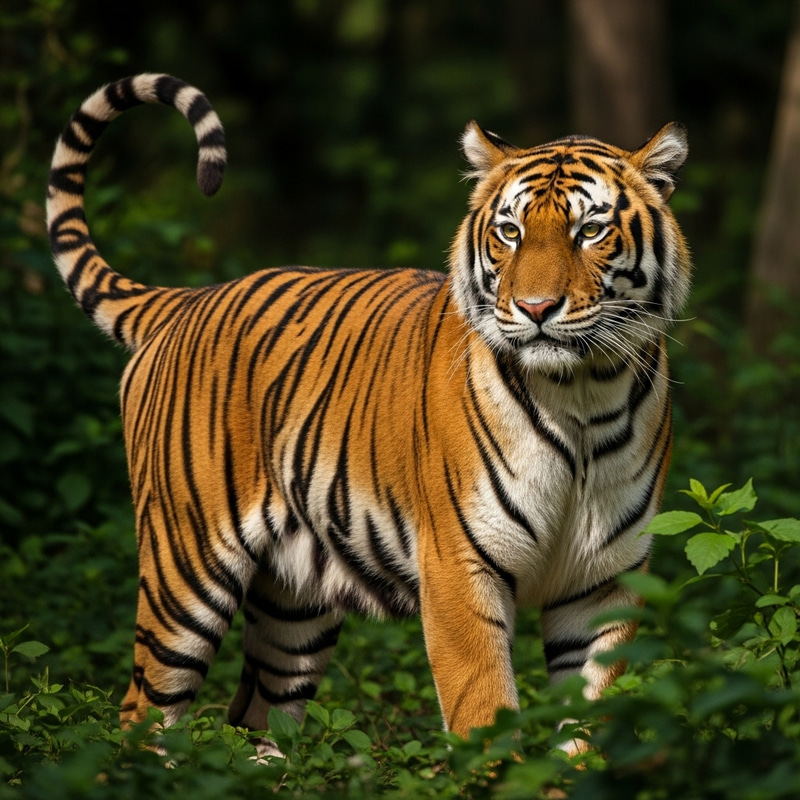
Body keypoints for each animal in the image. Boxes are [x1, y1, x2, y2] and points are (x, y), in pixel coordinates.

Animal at [47, 74, 691, 758]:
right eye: (511, 232)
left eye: (590, 231)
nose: (536, 307)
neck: (583, 396)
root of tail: (187, 299)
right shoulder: (461, 568)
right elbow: (485, 712)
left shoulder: (606, 582)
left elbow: (590, 726)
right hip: (184, 570)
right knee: (142, 710)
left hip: (294, 607)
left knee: (255, 714)